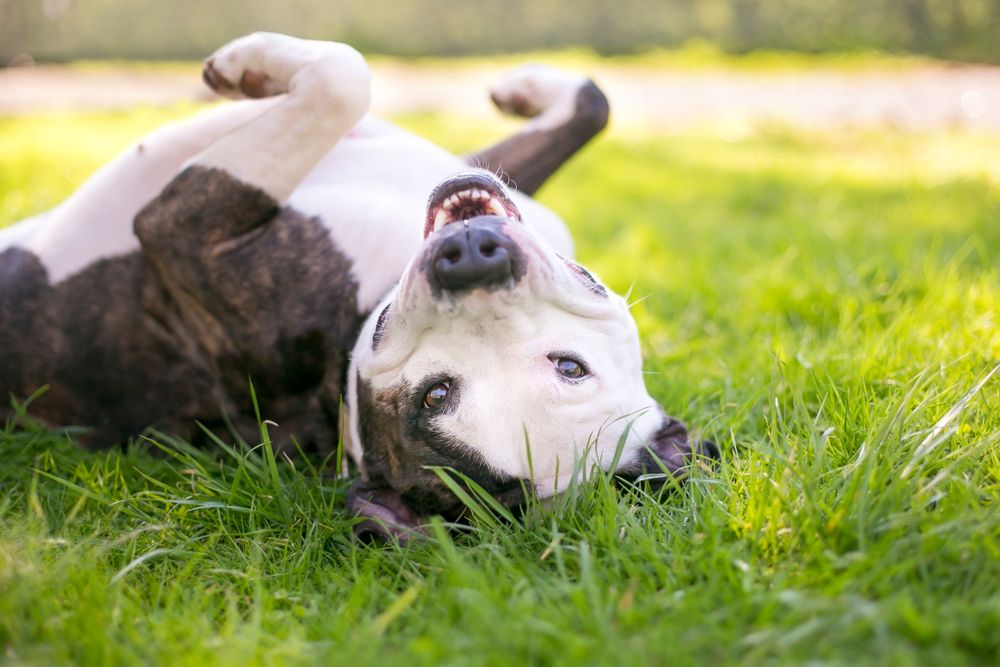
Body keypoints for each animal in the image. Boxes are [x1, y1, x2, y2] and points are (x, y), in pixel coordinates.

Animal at [0, 32, 720, 544]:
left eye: (434, 396)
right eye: (572, 366)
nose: (471, 259)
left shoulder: (181, 227)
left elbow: (342, 78)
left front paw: (244, 68)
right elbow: (594, 103)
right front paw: (524, 87)